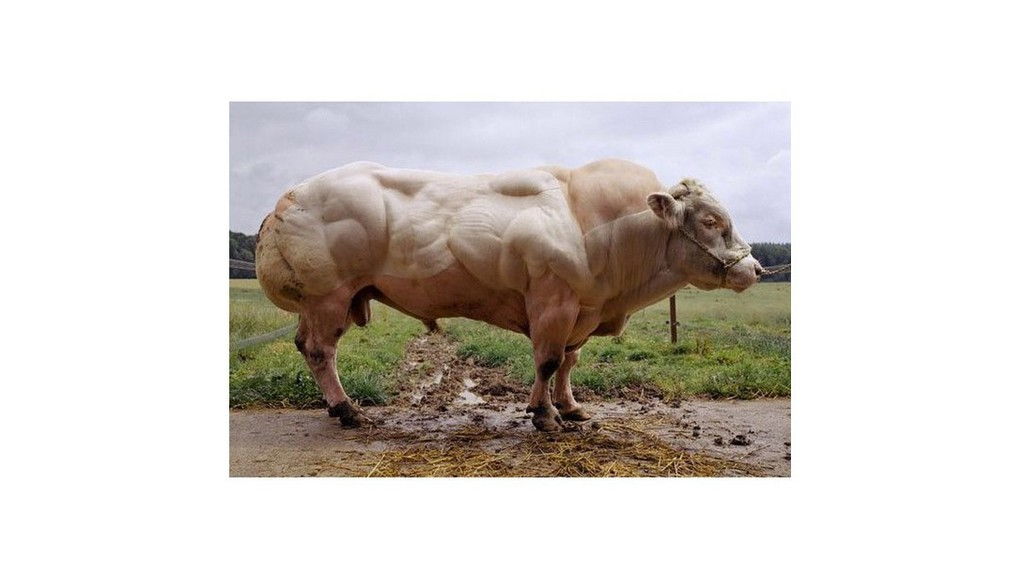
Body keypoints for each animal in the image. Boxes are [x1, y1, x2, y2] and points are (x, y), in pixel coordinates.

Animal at [255, 158, 764, 431]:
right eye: (712, 221)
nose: (755, 269)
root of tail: (289, 196)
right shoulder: (553, 302)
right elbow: (548, 360)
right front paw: (543, 414)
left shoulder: (581, 310)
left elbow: (569, 363)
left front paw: (570, 407)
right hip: (328, 296)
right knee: (320, 351)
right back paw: (347, 410)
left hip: (327, 302)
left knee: (306, 346)